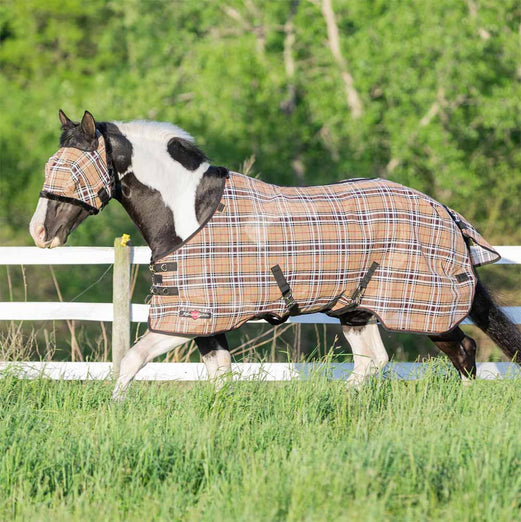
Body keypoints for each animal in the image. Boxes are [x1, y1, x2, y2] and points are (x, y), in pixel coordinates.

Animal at [30, 107, 516, 396]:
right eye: (51, 165)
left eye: (72, 169)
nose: (40, 232)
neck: (190, 212)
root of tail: (445, 212)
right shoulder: (203, 320)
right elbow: (219, 374)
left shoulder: (186, 317)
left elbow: (131, 359)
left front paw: (111, 412)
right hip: (356, 310)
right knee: (372, 363)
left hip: (427, 313)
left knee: (465, 351)